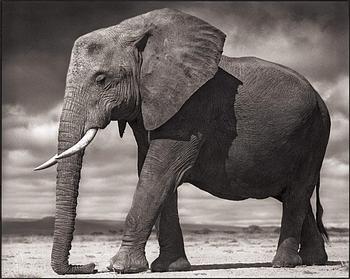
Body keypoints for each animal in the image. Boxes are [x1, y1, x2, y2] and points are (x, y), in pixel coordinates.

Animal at [34, 8, 330, 276]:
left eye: (101, 79)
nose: (89, 266)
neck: (135, 32)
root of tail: (319, 98)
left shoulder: (191, 110)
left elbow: (158, 174)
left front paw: (120, 267)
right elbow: (153, 173)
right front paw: (169, 267)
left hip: (315, 135)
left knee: (297, 193)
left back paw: (283, 264)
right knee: (294, 196)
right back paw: (314, 261)